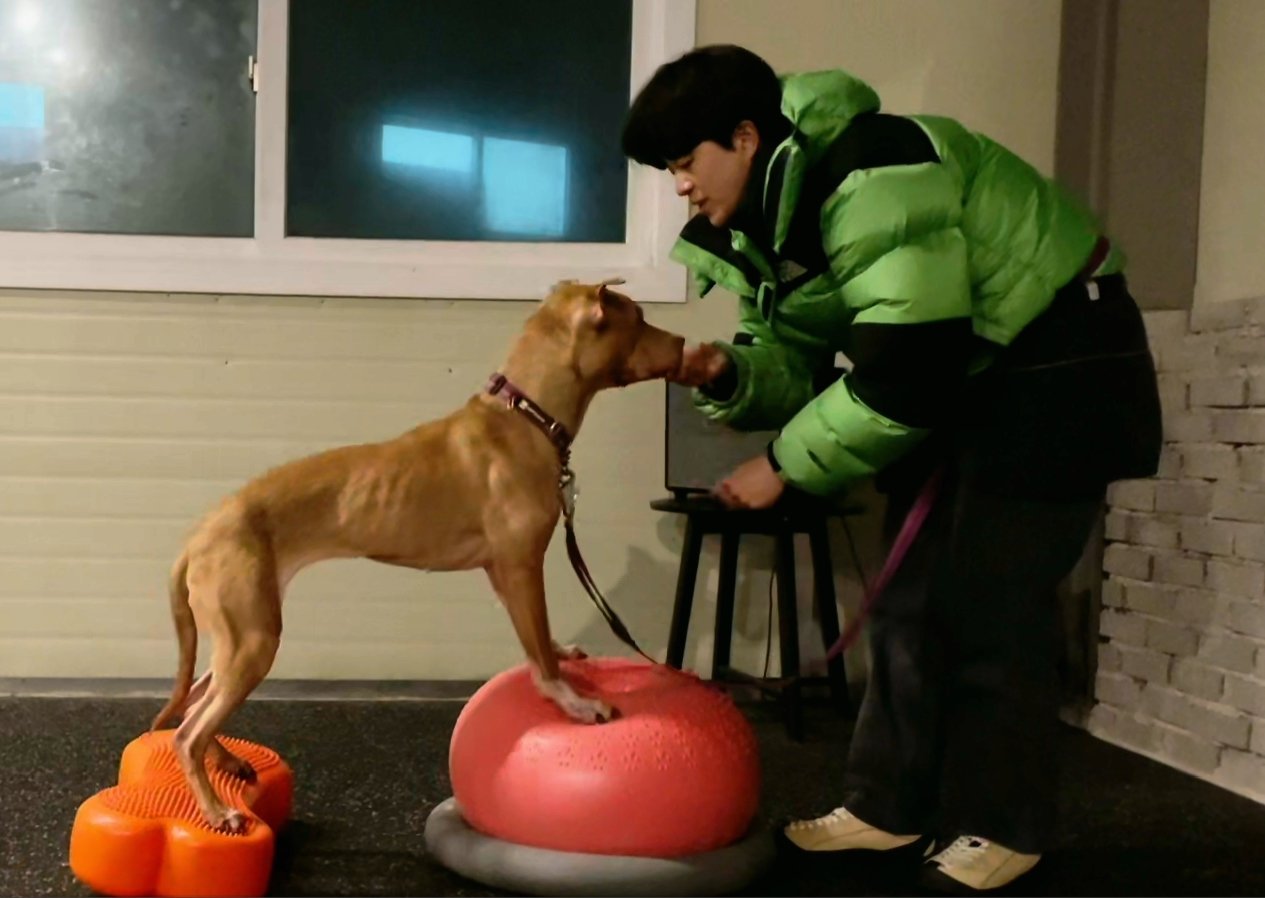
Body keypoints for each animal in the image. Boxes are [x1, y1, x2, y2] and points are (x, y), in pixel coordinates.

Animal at [149, 283, 688, 834]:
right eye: (638, 319)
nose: (686, 342)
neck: (525, 415)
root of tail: (198, 537)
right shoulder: (520, 568)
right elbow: (538, 651)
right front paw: (575, 703)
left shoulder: (504, 573)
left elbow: (540, 639)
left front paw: (562, 655)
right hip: (253, 641)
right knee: (187, 733)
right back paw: (217, 810)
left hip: (238, 635)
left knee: (195, 700)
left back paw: (229, 763)